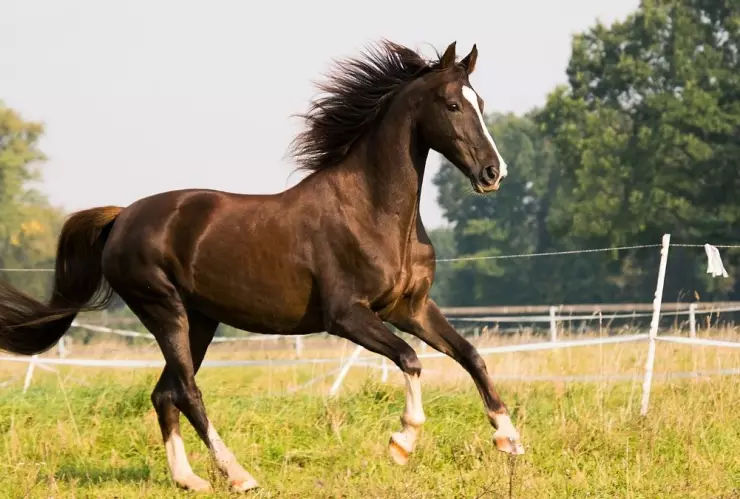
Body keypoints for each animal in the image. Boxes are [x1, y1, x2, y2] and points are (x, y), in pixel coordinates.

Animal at [0, 39, 523, 493]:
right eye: (452, 106)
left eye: (480, 102)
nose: (493, 174)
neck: (372, 211)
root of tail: (122, 216)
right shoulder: (347, 316)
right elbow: (411, 359)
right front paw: (402, 443)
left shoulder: (410, 308)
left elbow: (471, 355)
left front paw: (509, 439)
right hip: (165, 311)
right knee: (187, 393)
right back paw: (238, 475)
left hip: (199, 321)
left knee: (164, 394)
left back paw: (189, 479)